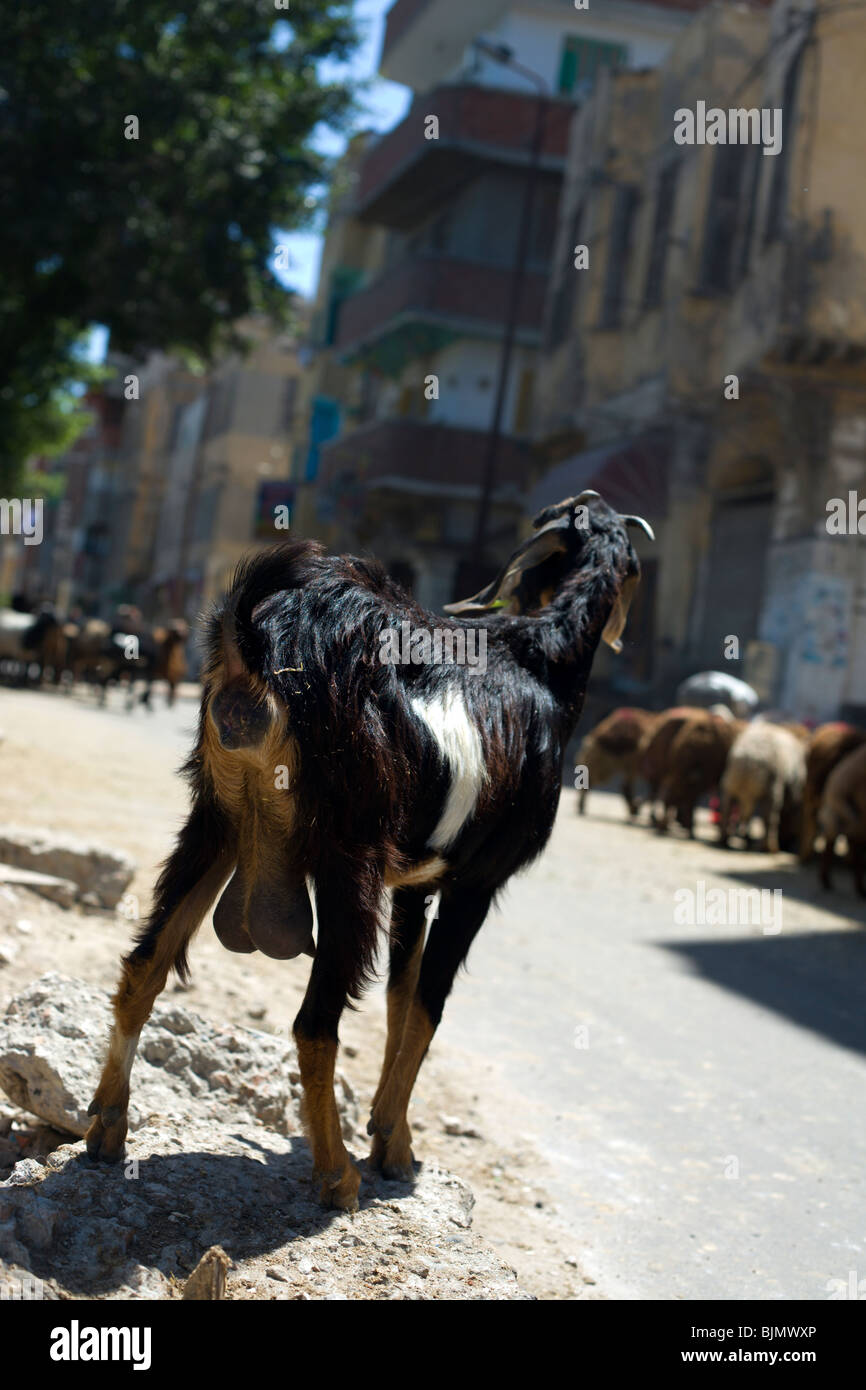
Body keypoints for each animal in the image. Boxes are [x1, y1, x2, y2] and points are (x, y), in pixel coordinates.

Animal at [85, 492, 652, 1210]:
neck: (540, 662)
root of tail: (257, 644)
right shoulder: (475, 882)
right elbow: (429, 1006)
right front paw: (394, 1148)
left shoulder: (416, 884)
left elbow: (399, 1002)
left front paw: (391, 1135)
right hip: (346, 856)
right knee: (314, 1023)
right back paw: (336, 1177)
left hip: (214, 823)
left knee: (146, 964)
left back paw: (106, 1128)